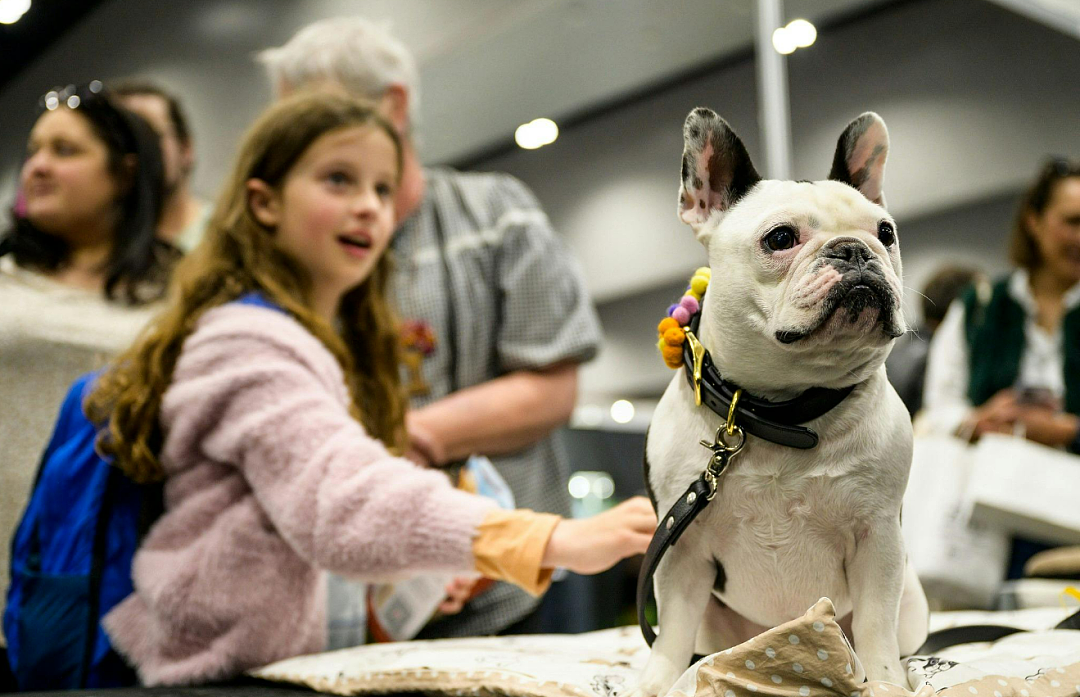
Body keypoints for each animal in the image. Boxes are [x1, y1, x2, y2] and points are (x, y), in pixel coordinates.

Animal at [635, 108, 933, 695]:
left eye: (886, 233)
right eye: (780, 238)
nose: (855, 250)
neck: (782, 410)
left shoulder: (879, 540)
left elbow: (875, 623)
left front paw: (887, 683)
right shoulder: (682, 553)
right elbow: (672, 630)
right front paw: (658, 682)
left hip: (912, 599)